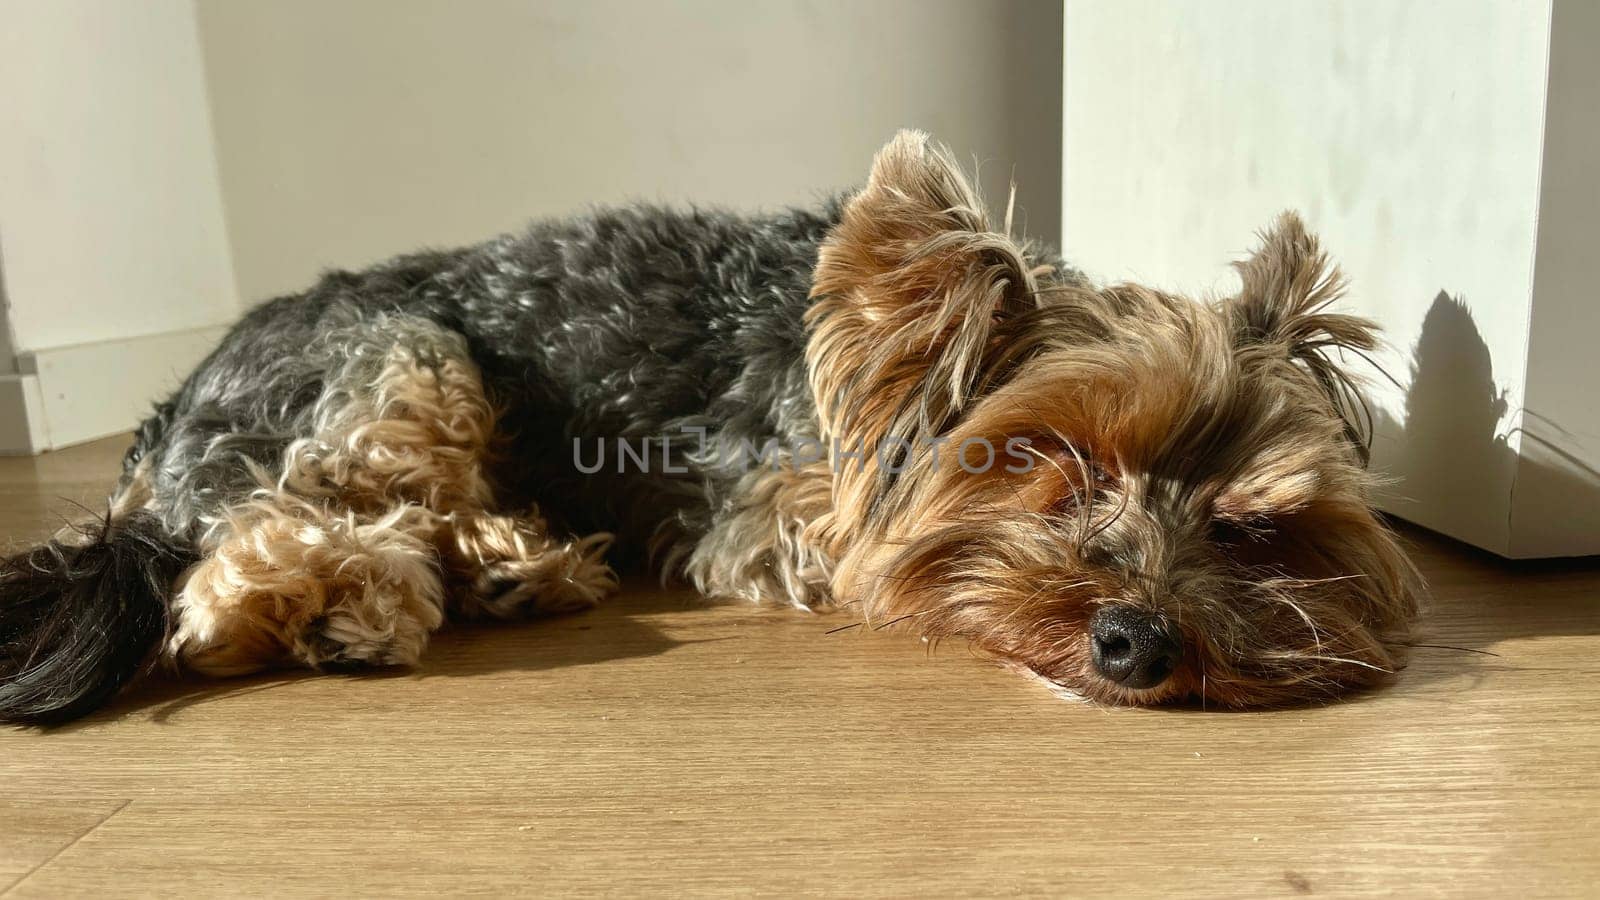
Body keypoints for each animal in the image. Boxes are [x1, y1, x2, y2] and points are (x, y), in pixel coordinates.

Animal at [0, 132, 1427, 720]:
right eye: (1045, 466)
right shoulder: (775, 513)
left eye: (1247, 527)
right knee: (234, 561)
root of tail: (166, 417)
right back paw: (352, 606)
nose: (1139, 642)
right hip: (408, 363)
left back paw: (518, 566)